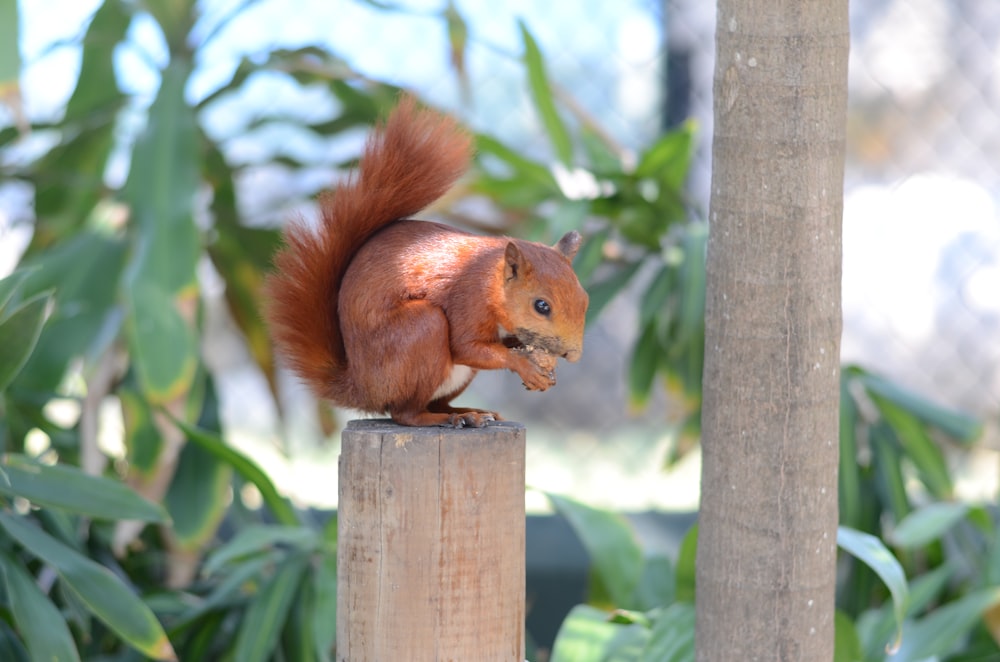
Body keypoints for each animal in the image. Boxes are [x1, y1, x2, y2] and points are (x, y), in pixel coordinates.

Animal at [262, 97, 588, 430]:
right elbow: (466, 347)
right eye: (541, 306)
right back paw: (444, 418)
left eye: (585, 300)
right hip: (419, 331)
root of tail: (361, 387)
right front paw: (526, 365)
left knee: (436, 401)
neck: (490, 279)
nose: (572, 355)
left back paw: (468, 412)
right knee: (406, 413)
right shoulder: (467, 301)